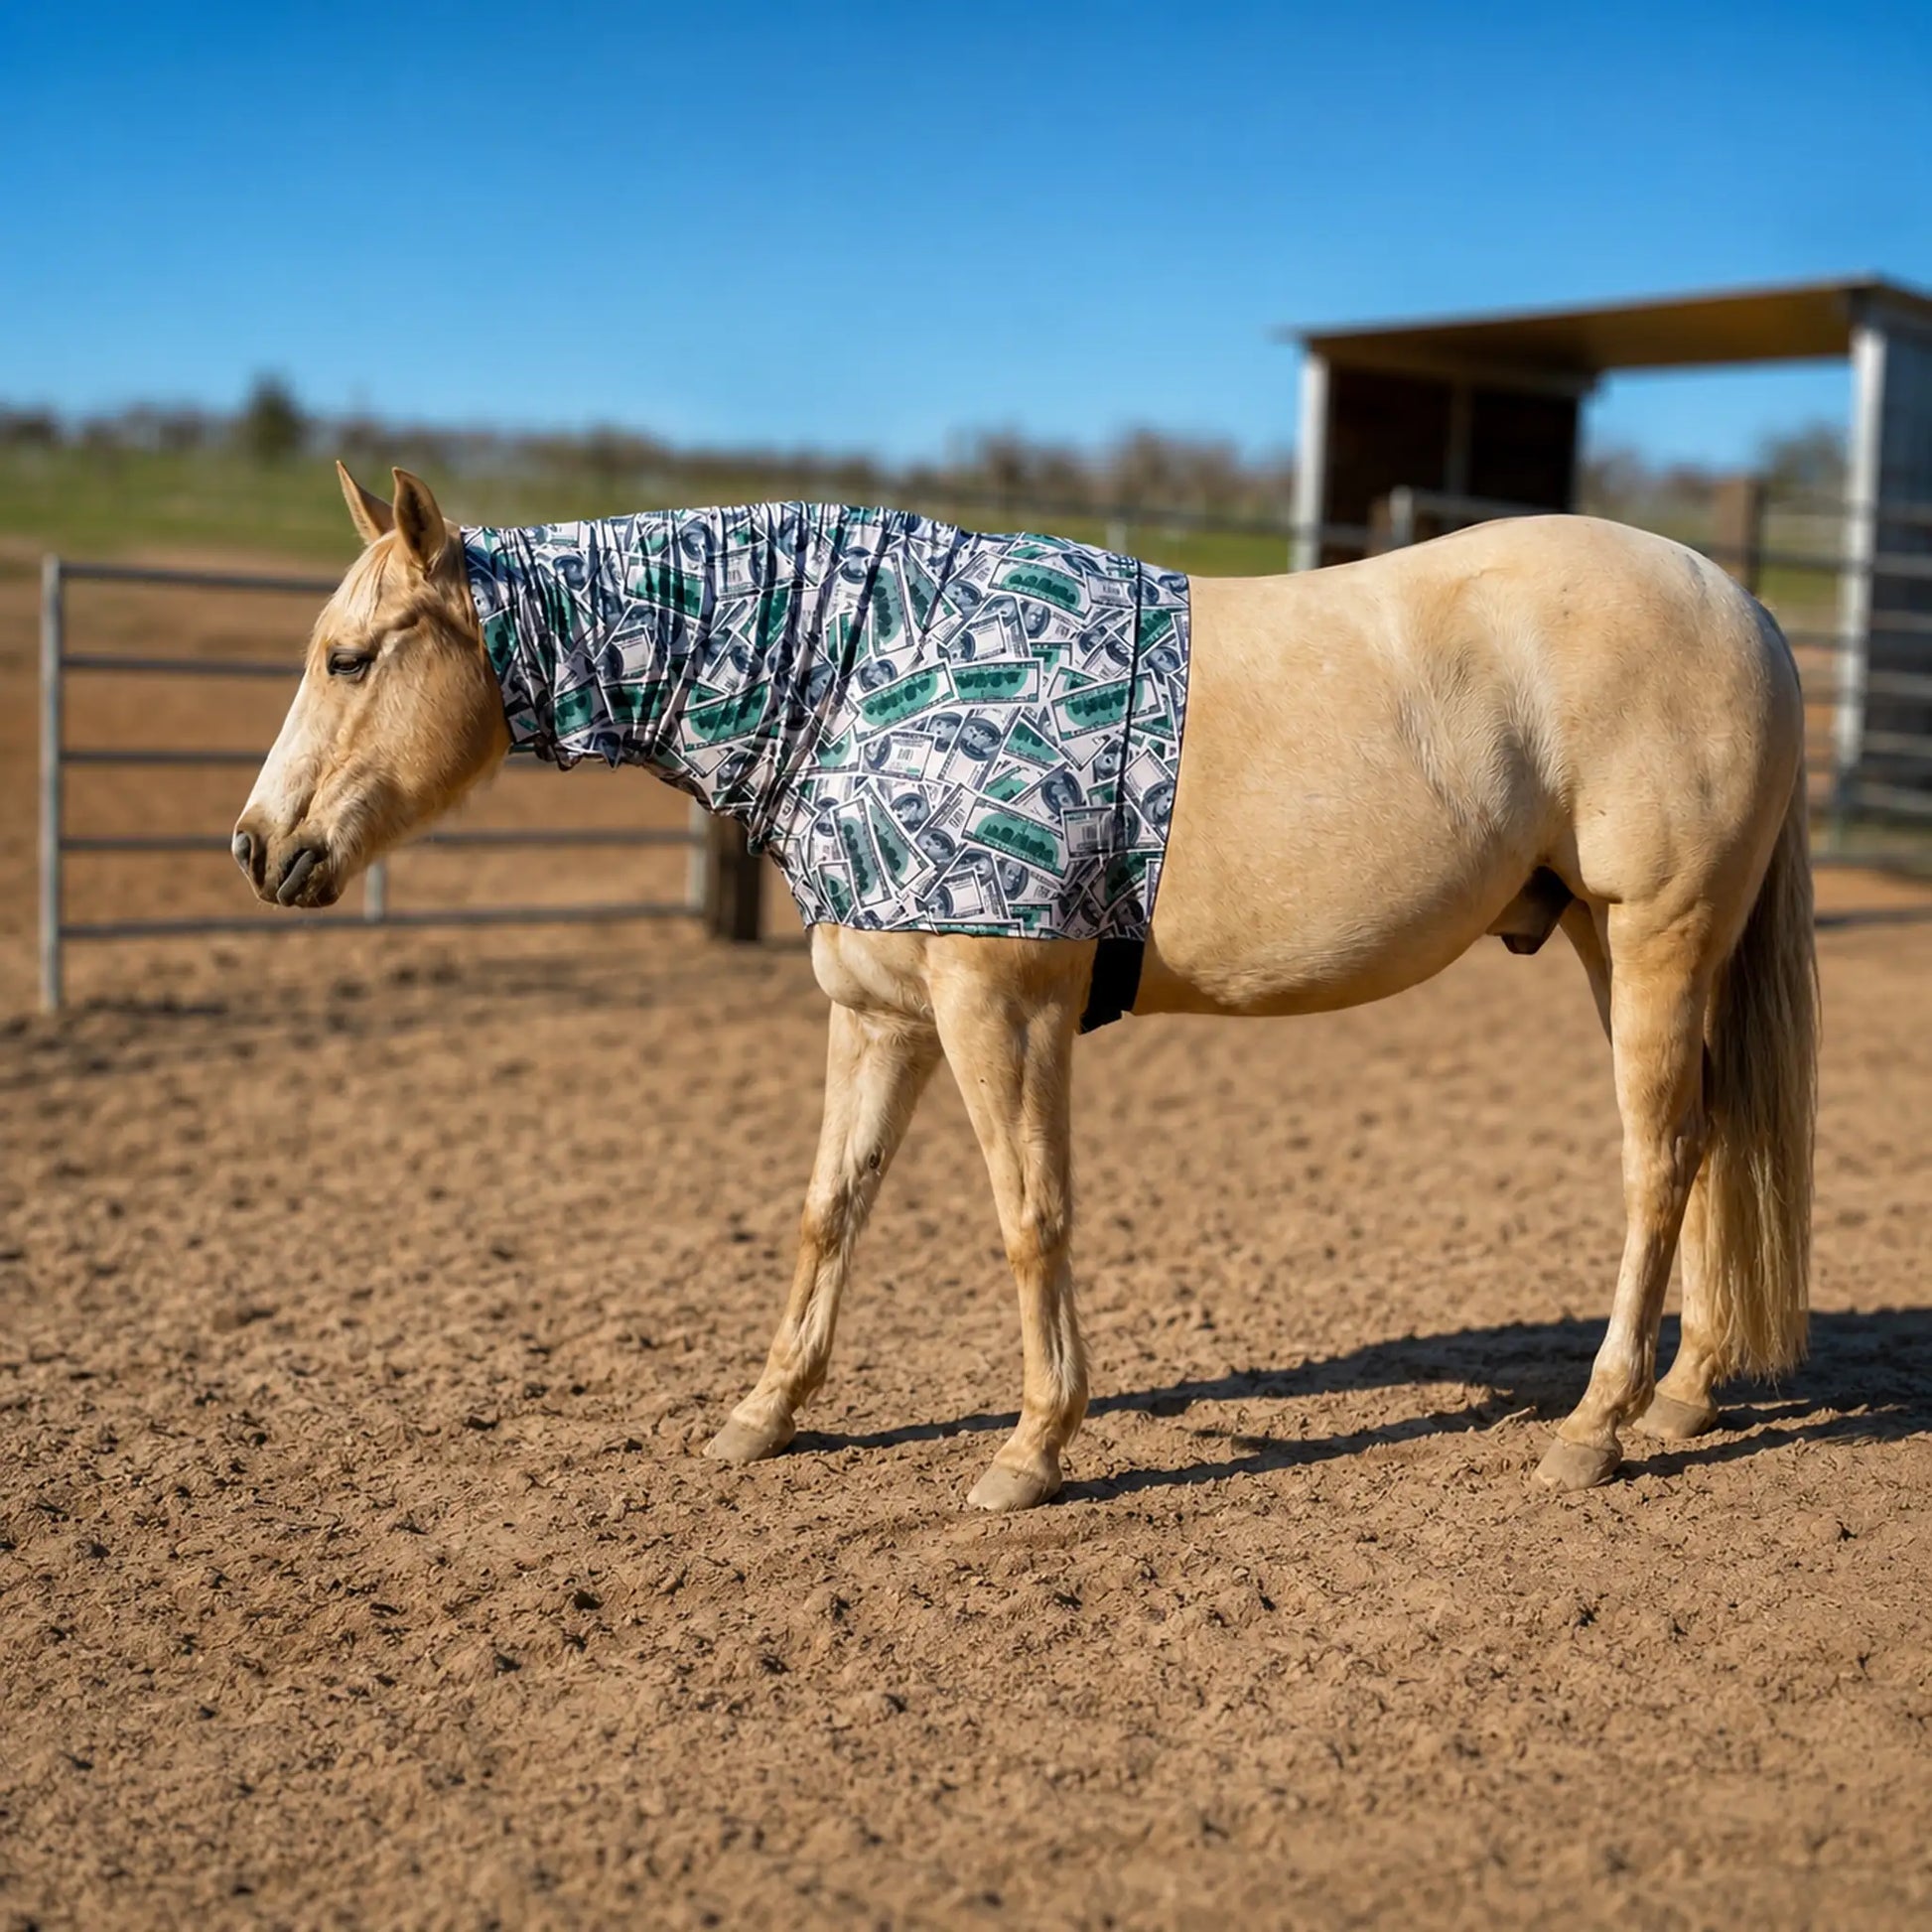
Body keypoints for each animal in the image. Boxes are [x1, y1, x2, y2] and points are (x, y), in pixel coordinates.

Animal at [233, 464, 1816, 1511]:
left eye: (349, 658)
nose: (258, 845)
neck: (863, 665)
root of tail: (1746, 607)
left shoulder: (999, 1010)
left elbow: (1026, 1217)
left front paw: (1032, 1447)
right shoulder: (878, 1016)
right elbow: (829, 1211)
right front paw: (764, 1415)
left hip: (1656, 937)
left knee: (1656, 1161)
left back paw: (1594, 1425)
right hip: (1626, 949)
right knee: (1706, 1144)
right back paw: (1682, 1397)